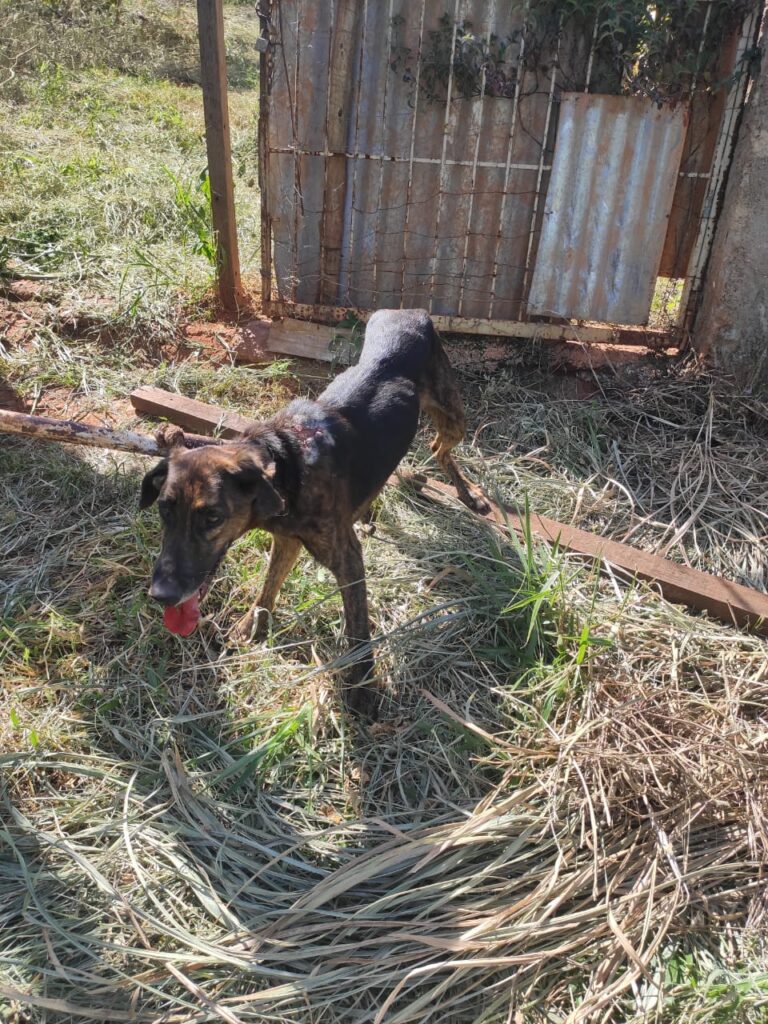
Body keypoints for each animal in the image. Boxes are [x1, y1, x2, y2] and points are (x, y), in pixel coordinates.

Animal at [140, 307, 487, 716]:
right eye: (164, 510)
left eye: (212, 517)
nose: (161, 595)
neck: (285, 461)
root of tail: (410, 311)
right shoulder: (287, 539)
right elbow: (270, 584)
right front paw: (253, 624)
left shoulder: (348, 560)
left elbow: (357, 630)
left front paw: (362, 689)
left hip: (452, 415)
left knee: (439, 447)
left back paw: (470, 493)